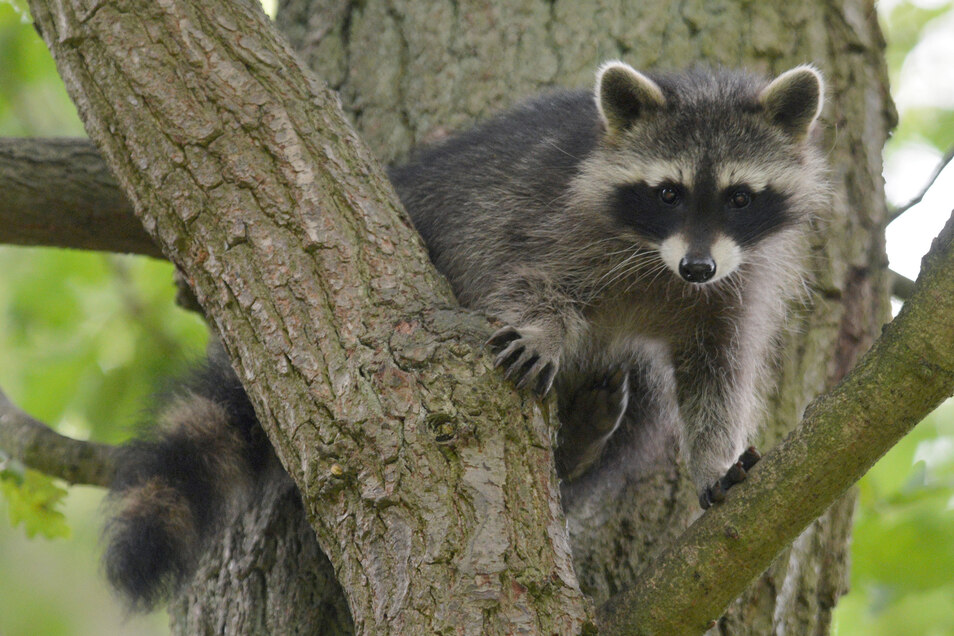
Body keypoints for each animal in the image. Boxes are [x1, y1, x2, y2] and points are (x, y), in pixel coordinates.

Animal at [100, 62, 820, 608]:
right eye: (668, 192)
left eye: (739, 197)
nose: (696, 267)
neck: (660, 265)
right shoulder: (556, 223)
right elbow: (530, 278)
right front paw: (542, 329)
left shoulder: (735, 284)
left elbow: (716, 372)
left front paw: (716, 459)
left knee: (643, 397)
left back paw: (580, 447)